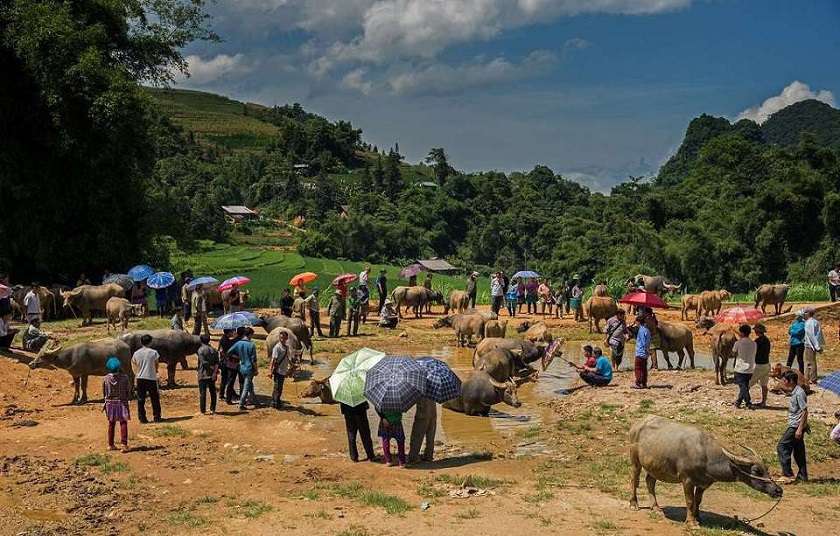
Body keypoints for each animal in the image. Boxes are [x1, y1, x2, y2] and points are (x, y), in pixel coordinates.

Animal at [632, 416, 780, 524]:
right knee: (634, 481)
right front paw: (691, 522)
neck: (706, 455)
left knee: (650, 481)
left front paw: (698, 517)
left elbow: (698, 500)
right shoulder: (687, 480)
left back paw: (655, 507)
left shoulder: (704, 483)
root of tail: (638, 423)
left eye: (766, 468)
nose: (778, 490)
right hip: (635, 461)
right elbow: (689, 500)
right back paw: (634, 504)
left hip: (654, 466)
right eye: (756, 471)